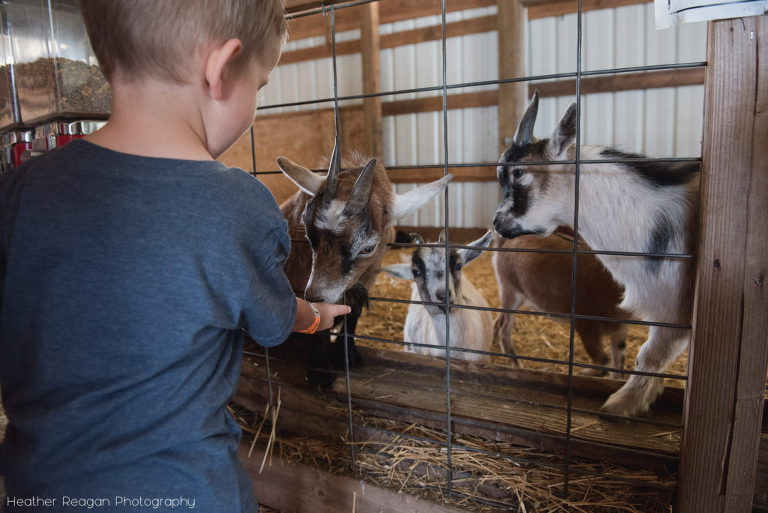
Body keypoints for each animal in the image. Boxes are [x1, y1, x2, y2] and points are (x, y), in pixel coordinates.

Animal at [277, 140, 452, 384]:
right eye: (308, 234)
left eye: (368, 248)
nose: (313, 296)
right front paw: (320, 371)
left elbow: (353, 309)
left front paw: (348, 356)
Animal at [492, 232, 629, 378]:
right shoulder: (585, 324)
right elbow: (602, 362)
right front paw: (582, 372)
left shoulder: (620, 330)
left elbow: (618, 362)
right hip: (510, 289)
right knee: (504, 328)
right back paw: (516, 364)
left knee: (499, 320)